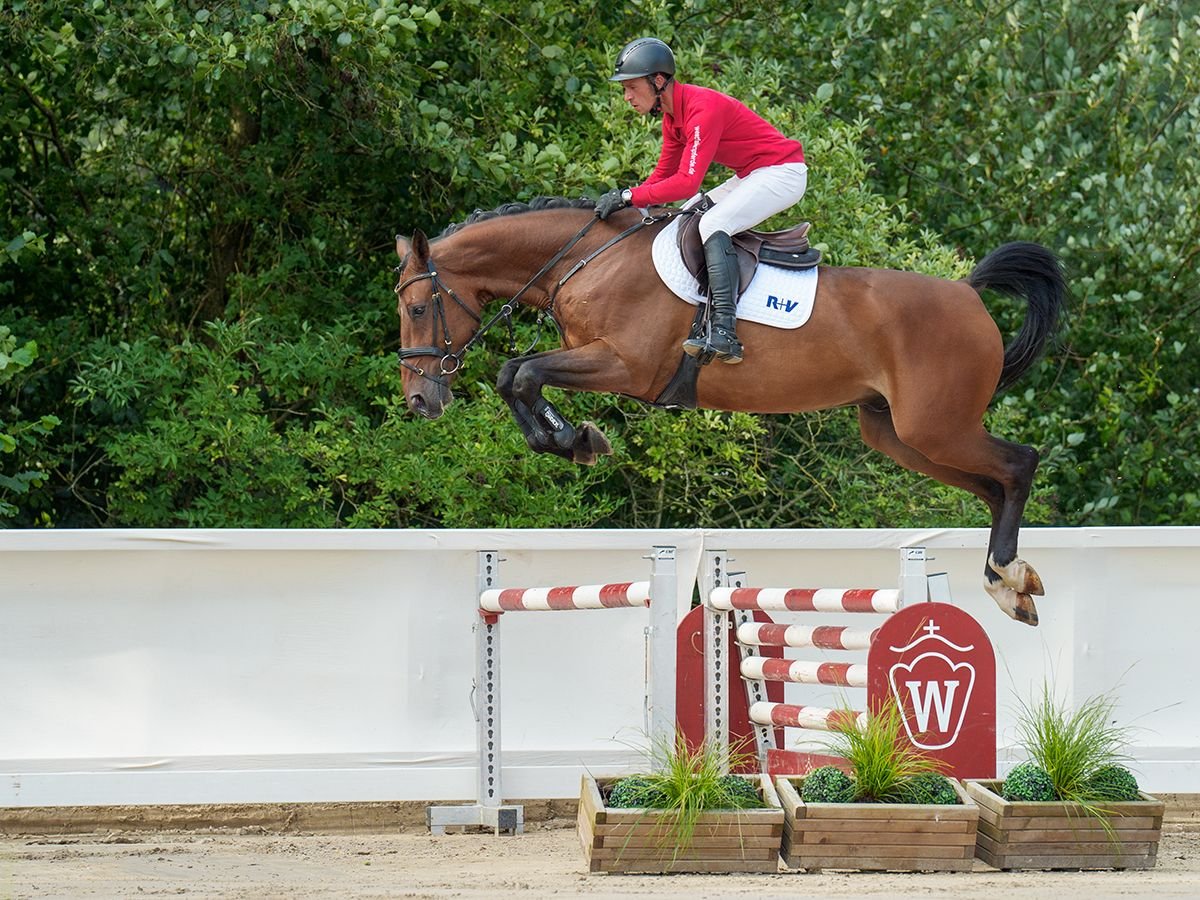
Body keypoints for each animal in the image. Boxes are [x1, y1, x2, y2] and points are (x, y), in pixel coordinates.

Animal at [393, 196, 1070, 628]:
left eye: (419, 309)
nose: (420, 400)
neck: (586, 261)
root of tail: (968, 294)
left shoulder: (627, 365)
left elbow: (522, 372)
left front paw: (576, 439)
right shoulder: (596, 357)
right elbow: (516, 376)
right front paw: (574, 438)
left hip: (936, 425)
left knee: (1018, 464)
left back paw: (1008, 577)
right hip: (899, 434)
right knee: (992, 484)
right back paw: (1008, 582)